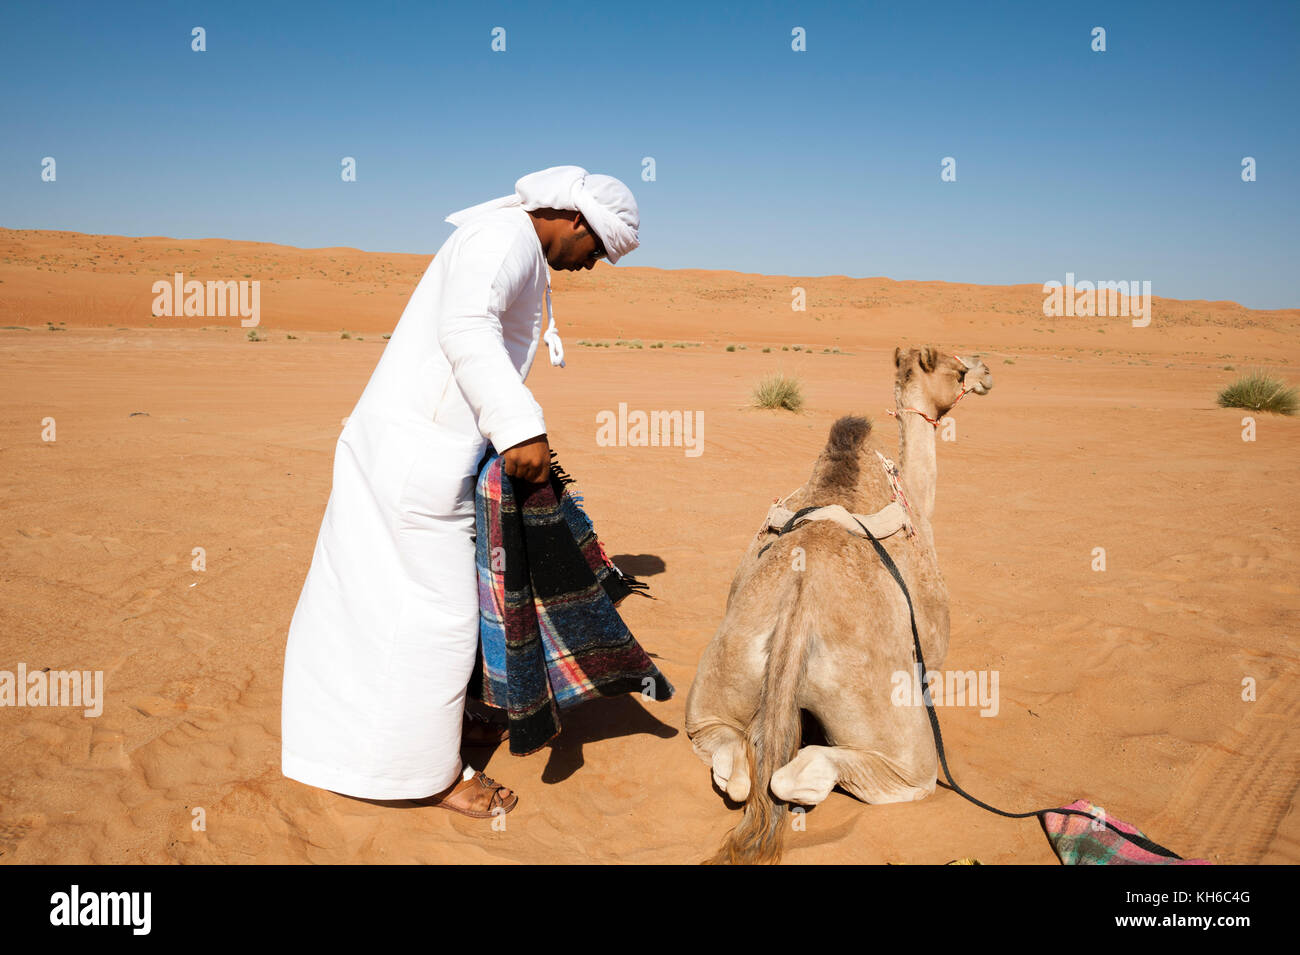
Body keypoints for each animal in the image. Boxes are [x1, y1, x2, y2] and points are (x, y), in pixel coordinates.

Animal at [684, 345, 993, 864]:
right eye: (956, 369)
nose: (987, 371)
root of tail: (796, 614)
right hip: (888, 719)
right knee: (860, 773)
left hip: (717, 684)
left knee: (736, 763)